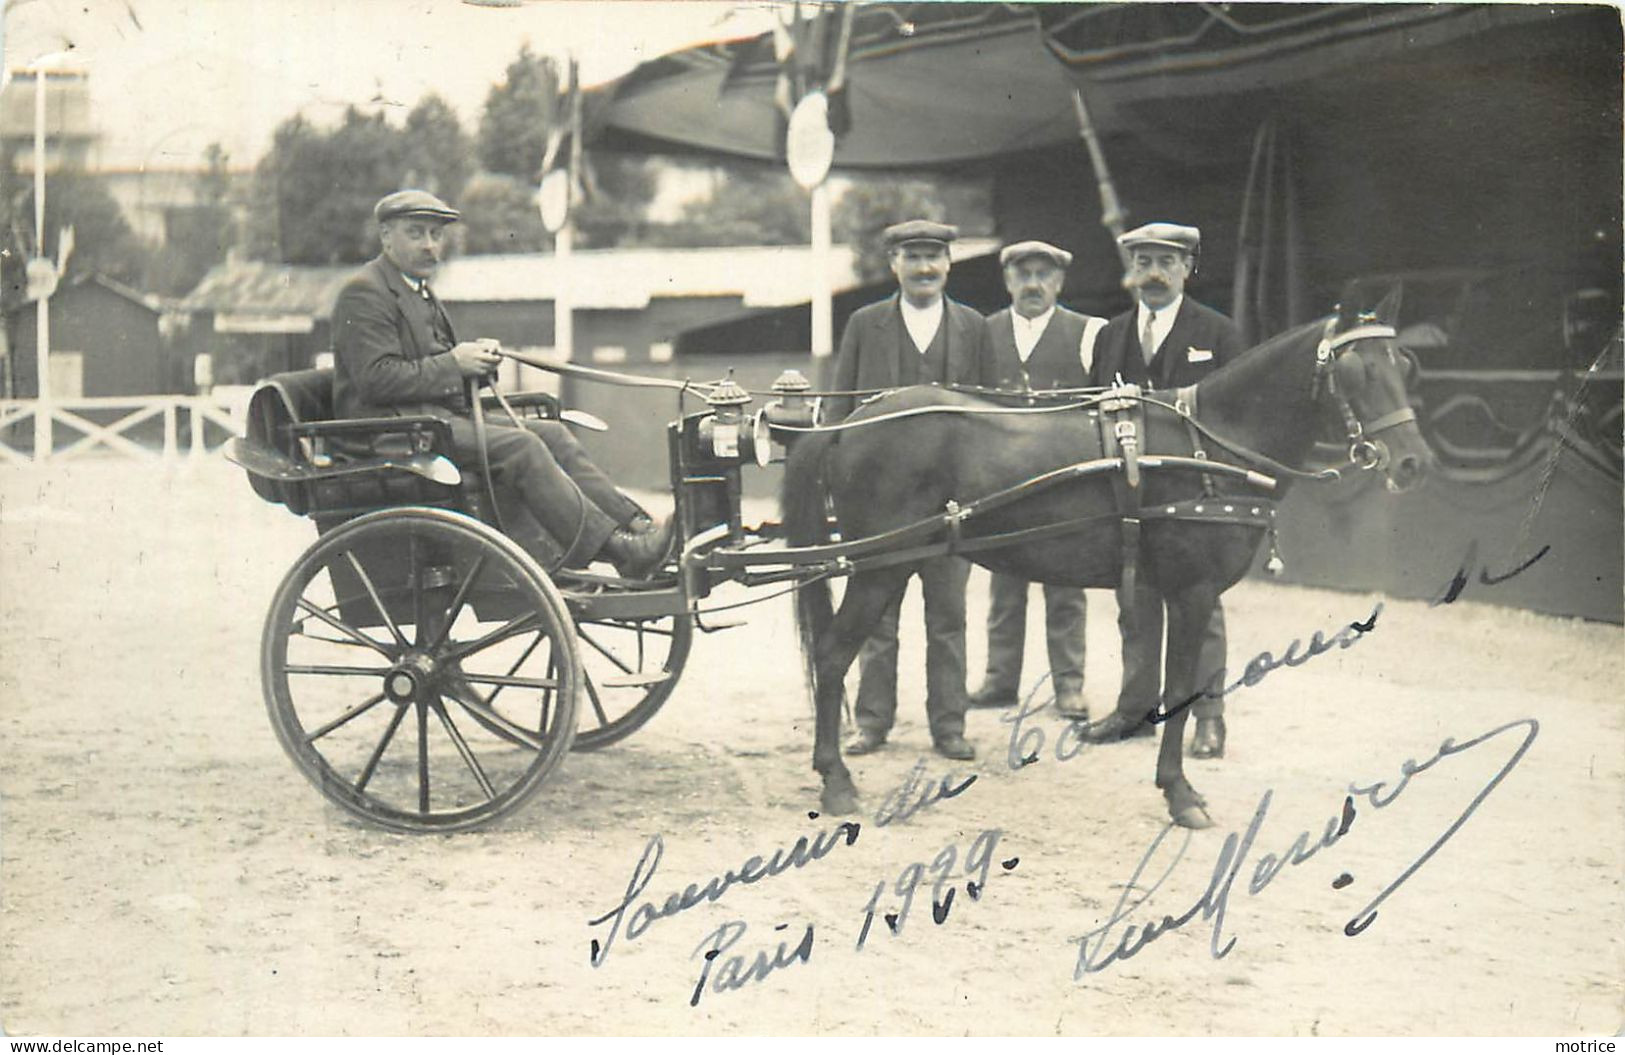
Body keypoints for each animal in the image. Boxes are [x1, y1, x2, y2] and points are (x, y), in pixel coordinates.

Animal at [786, 308, 1436, 825]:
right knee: (833, 656)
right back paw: (836, 781)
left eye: (1403, 366)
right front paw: (1180, 795)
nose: (1412, 462)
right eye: (1355, 372)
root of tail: (848, 423)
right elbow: (1181, 688)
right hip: (879, 569)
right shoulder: (1193, 590)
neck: (1209, 447)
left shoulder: (1170, 590)